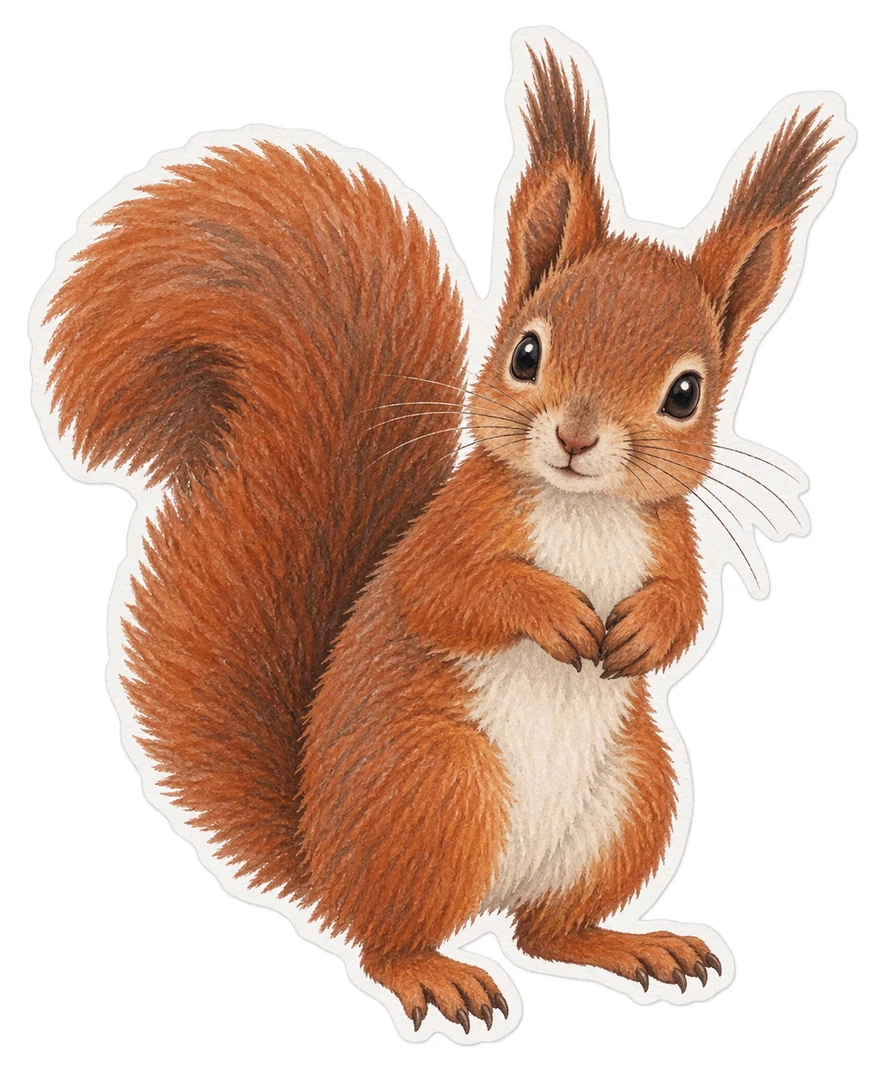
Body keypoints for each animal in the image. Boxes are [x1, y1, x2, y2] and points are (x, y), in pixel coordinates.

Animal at [43, 45, 840, 1032]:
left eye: (686, 393)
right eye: (527, 353)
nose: (576, 438)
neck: (582, 509)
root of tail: (323, 860)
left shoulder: (673, 538)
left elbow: (688, 608)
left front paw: (643, 630)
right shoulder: (453, 528)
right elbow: (444, 592)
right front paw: (554, 612)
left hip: (630, 802)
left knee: (547, 931)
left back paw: (629, 945)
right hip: (441, 786)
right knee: (386, 941)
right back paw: (436, 973)